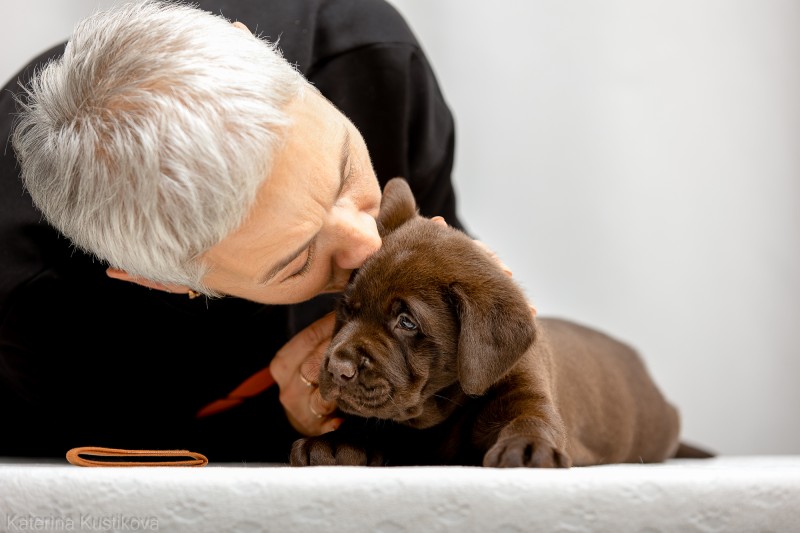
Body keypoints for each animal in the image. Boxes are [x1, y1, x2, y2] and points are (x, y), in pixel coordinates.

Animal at [290, 179, 704, 466]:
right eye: (347, 310)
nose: (337, 367)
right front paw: (336, 442)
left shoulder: (526, 391)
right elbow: (368, 423)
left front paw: (529, 447)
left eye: (406, 322)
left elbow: (532, 420)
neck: (439, 411)